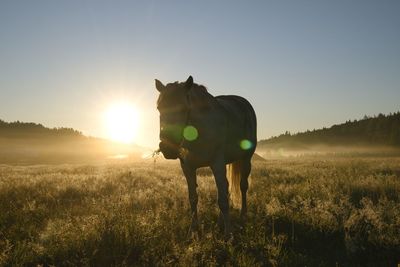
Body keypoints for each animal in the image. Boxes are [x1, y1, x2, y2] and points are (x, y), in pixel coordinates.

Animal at [155, 75, 258, 239]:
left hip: (245, 160)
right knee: (226, 188)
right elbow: (193, 198)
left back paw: (242, 217)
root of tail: (243, 102)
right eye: (159, 108)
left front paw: (228, 234)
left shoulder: (217, 164)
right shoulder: (188, 167)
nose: (167, 148)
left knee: (242, 186)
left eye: (184, 108)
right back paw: (220, 223)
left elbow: (222, 200)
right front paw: (193, 230)